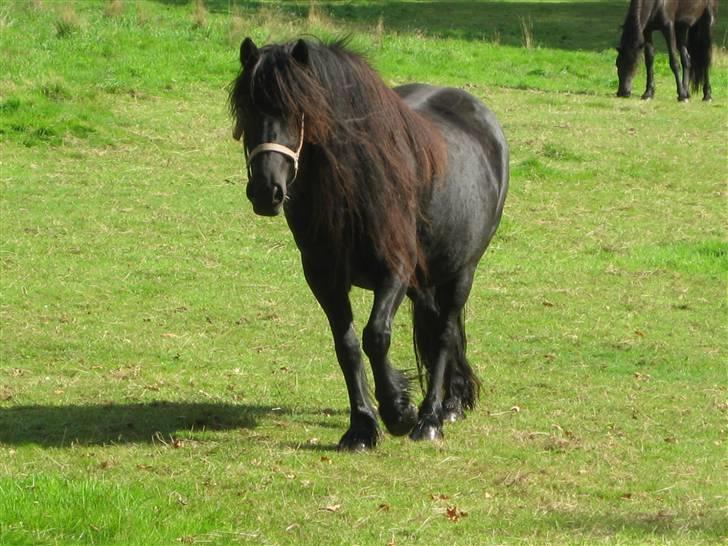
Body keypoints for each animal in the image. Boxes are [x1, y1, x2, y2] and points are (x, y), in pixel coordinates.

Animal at [228, 37, 508, 450]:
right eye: (247, 107)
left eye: (298, 110)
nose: (267, 191)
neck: (354, 185)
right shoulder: (323, 277)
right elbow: (346, 346)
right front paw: (362, 426)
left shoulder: (395, 270)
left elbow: (376, 336)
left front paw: (398, 411)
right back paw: (452, 403)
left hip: (462, 270)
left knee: (444, 333)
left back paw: (430, 419)